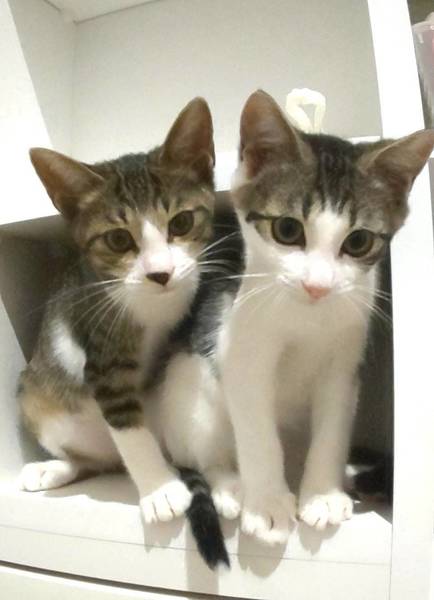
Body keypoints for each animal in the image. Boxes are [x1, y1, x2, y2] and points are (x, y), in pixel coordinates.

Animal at [17, 97, 240, 567]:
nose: (160, 273)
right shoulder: (100, 349)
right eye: (118, 240)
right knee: (90, 456)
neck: (155, 305)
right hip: (35, 393)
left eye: (181, 222)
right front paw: (160, 492)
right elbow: (126, 421)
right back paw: (54, 468)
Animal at [218, 90, 434, 545]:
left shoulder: (346, 359)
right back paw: (230, 488)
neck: (307, 319)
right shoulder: (242, 351)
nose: (317, 286)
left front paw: (321, 496)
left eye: (359, 241)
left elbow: (334, 423)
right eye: (287, 230)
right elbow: (256, 428)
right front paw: (267, 504)